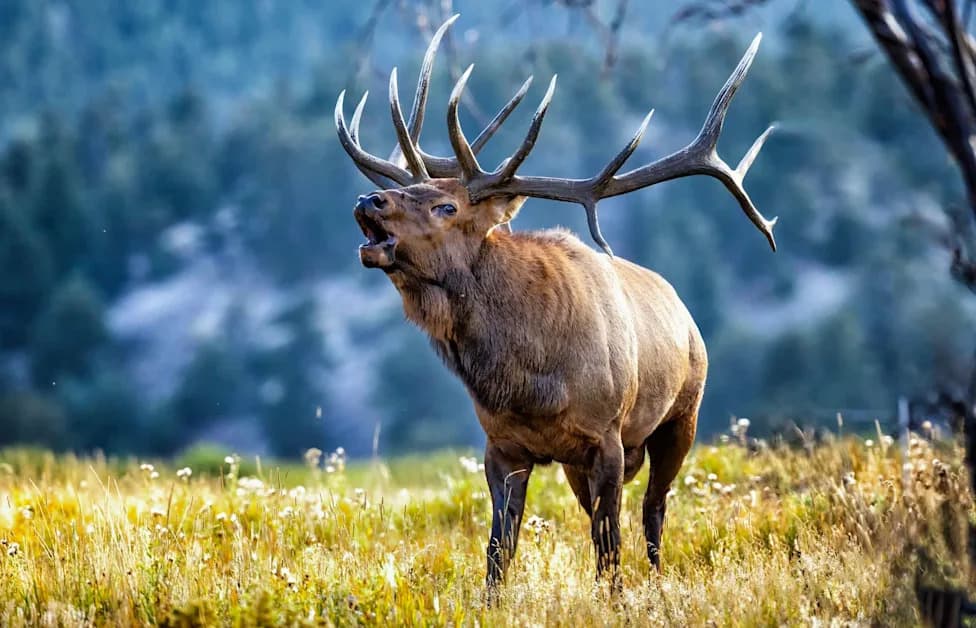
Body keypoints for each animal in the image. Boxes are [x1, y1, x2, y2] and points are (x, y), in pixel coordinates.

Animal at [335, 15, 777, 592]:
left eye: (446, 206)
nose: (369, 200)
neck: (530, 381)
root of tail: (684, 313)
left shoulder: (607, 437)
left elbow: (609, 548)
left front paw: (617, 599)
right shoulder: (502, 446)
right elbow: (499, 551)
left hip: (683, 415)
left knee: (653, 510)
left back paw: (659, 580)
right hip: (576, 464)